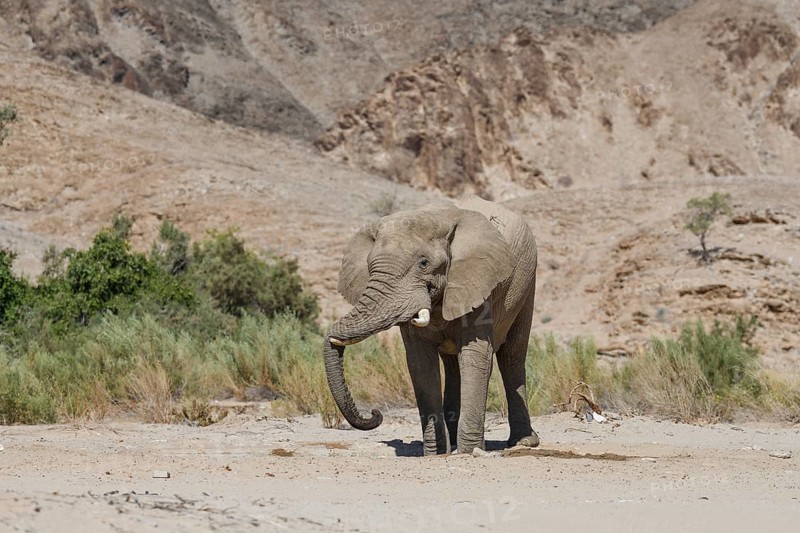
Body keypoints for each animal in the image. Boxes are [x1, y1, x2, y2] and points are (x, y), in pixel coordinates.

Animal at [323, 195, 539, 456]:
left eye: (424, 263)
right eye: (369, 265)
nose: (375, 413)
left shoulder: (477, 282)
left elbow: (475, 355)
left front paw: (469, 452)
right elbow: (420, 364)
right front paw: (435, 454)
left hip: (526, 284)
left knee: (512, 356)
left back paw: (524, 442)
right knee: (453, 364)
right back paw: (453, 442)